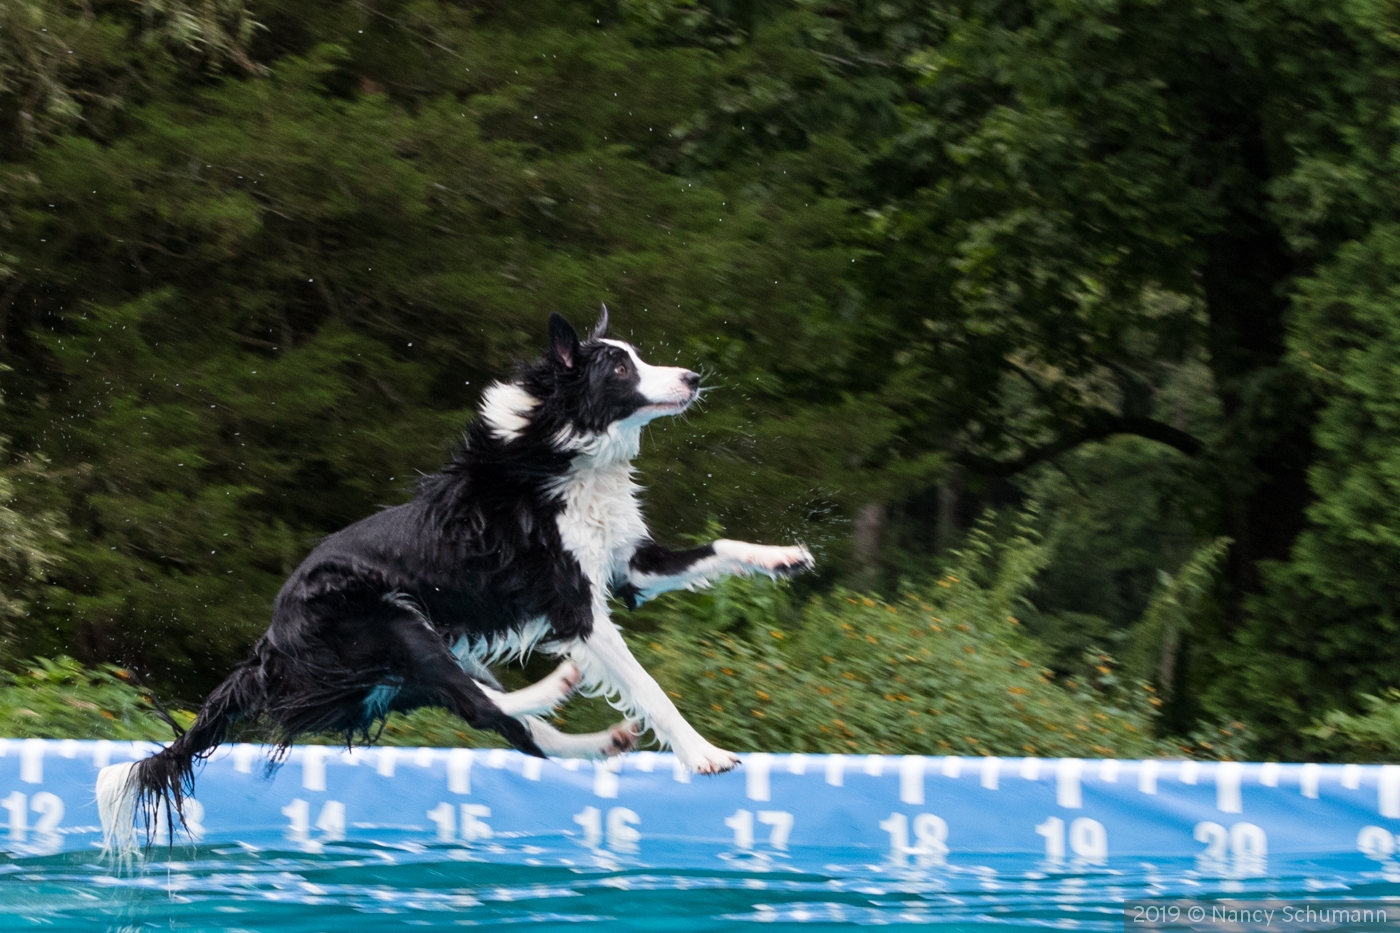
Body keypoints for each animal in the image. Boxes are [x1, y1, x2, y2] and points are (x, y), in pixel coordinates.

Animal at [95, 308, 812, 846]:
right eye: (619, 366)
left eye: (636, 354)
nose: (692, 376)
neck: (560, 452)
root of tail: (269, 641)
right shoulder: (574, 607)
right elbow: (650, 686)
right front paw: (705, 754)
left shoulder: (629, 564)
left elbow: (717, 547)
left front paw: (784, 556)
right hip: (390, 619)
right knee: (480, 703)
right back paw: (557, 687)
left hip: (397, 663)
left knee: (506, 726)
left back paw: (596, 732)